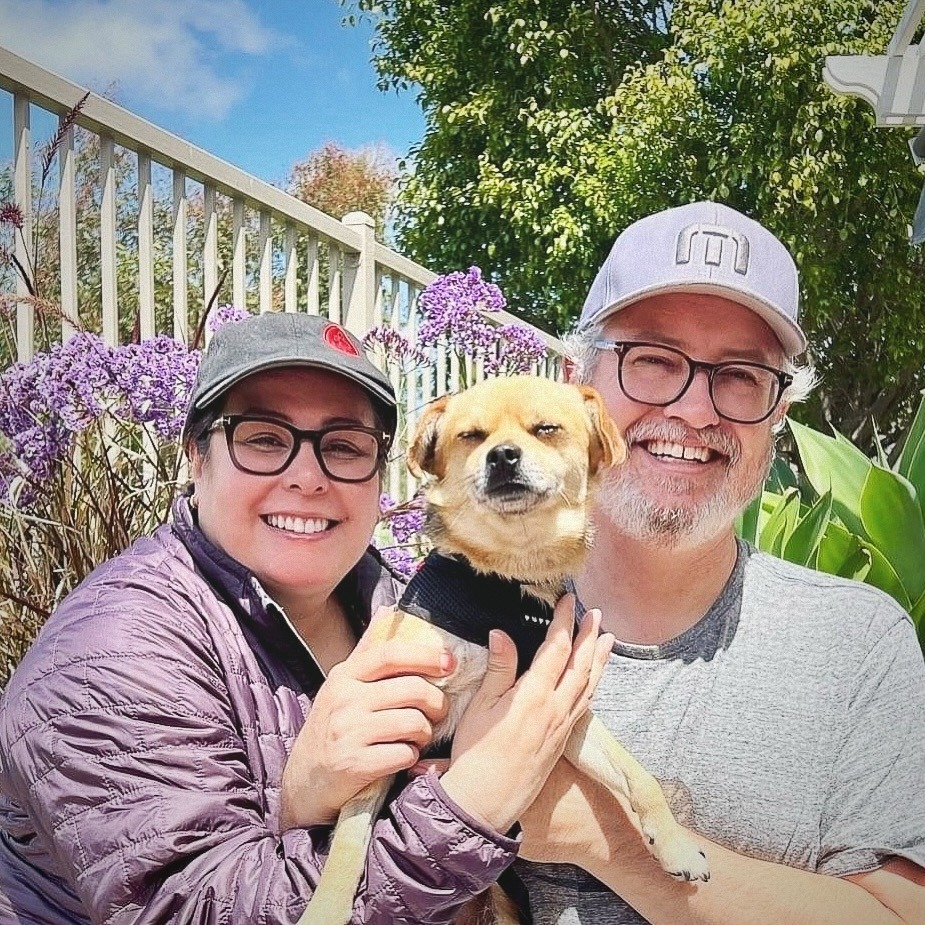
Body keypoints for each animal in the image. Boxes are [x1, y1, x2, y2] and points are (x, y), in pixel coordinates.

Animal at [296, 376, 708, 924]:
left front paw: (676, 845)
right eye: (471, 436)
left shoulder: (567, 720)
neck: (507, 579)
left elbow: (637, 775)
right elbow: (347, 844)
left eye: (546, 429)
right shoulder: (393, 724)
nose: (503, 455)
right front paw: (324, 910)